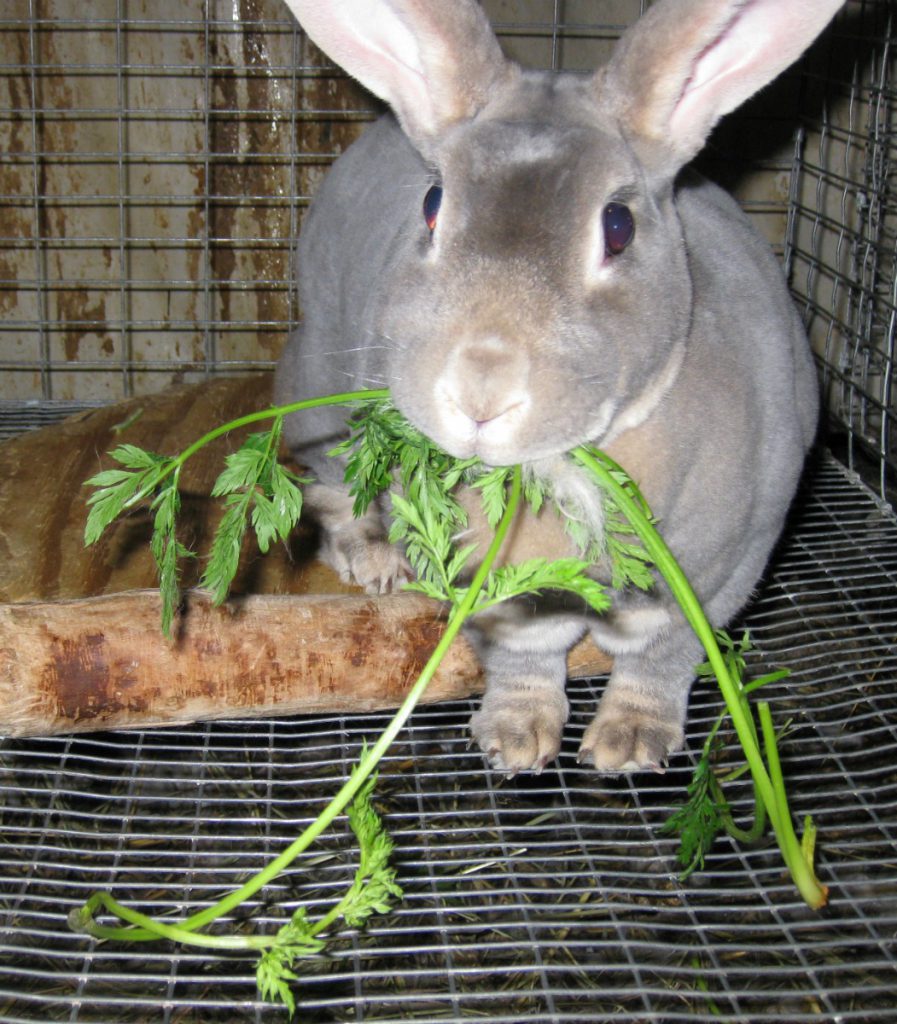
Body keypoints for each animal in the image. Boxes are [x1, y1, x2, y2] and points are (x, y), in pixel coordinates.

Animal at [272, 0, 839, 770]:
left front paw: (630, 746)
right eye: (432, 205)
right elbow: (526, 658)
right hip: (319, 388)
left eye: (618, 225)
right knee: (330, 489)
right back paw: (376, 558)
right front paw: (515, 741)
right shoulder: (494, 595)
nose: (479, 392)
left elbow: (662, 656)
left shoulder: (723, 570)